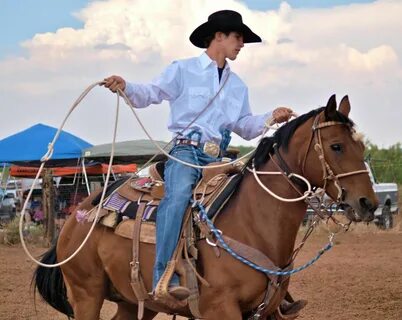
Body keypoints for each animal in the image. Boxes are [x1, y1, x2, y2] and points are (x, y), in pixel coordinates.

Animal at [34, 95, 376, 320]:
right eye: (336, 146)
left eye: (361, 146)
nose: (368, 203)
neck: (252, 221)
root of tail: (78, 216)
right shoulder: (221, 310)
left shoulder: (265, 312)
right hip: (86, 294)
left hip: (132, 301)